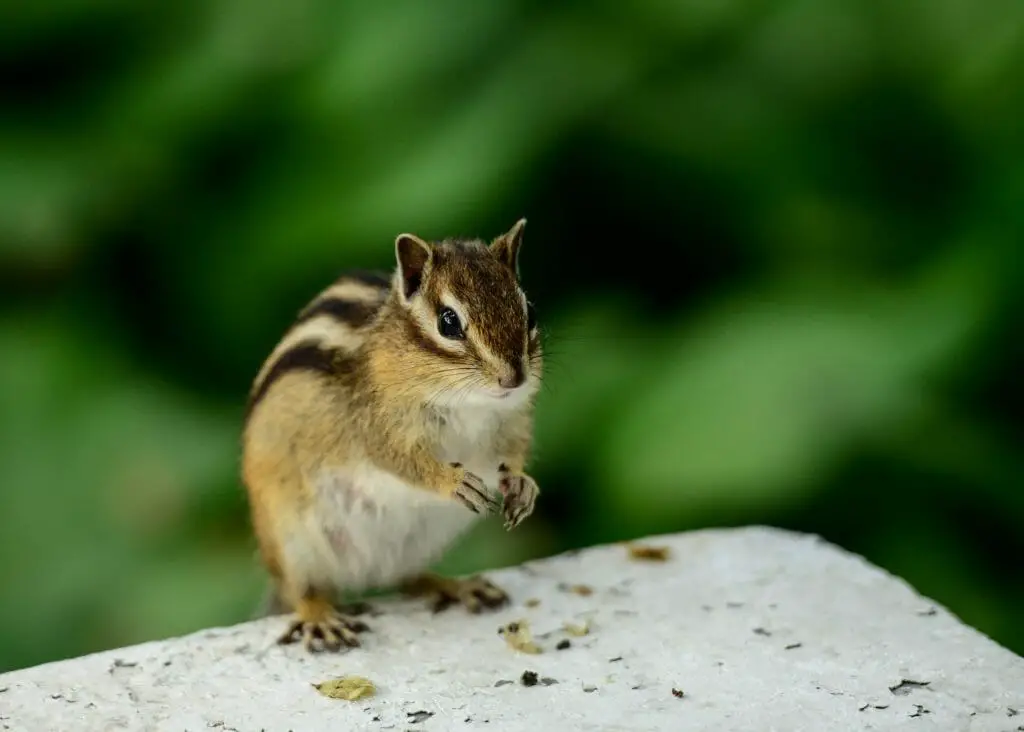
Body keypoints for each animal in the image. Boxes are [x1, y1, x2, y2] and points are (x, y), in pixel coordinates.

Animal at [240, 219, 543, 652]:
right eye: (448, 322)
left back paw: (455, 586)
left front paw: (522, 485)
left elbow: (514, 453)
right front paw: (451, 481)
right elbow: (397, 460)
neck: (468, 403)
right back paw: (321, 618)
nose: (513, 378)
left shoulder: (513, 422)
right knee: (306, 591)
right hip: (292, 539)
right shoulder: (375, 426)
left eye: (529, 312)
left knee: (407, 579)